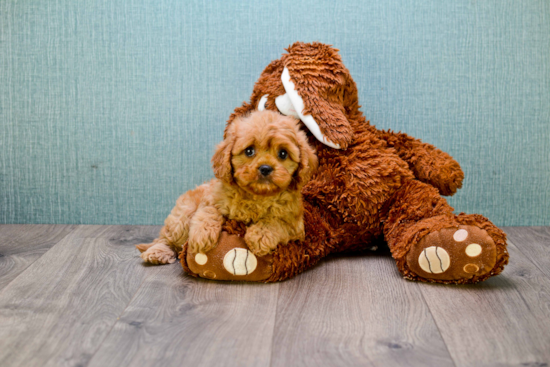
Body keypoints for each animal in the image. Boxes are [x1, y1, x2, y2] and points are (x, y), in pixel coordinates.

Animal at [137, 110, 320, 266]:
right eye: (249, 151)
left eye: (283, 154)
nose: (265, 168)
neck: (257, 195)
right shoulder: (211, 198)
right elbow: (208, 212)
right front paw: (202, 235)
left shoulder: (296, 226)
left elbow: (277, 222)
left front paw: (260, 236)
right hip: (181, 217)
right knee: (166, 238)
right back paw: (158, 252)